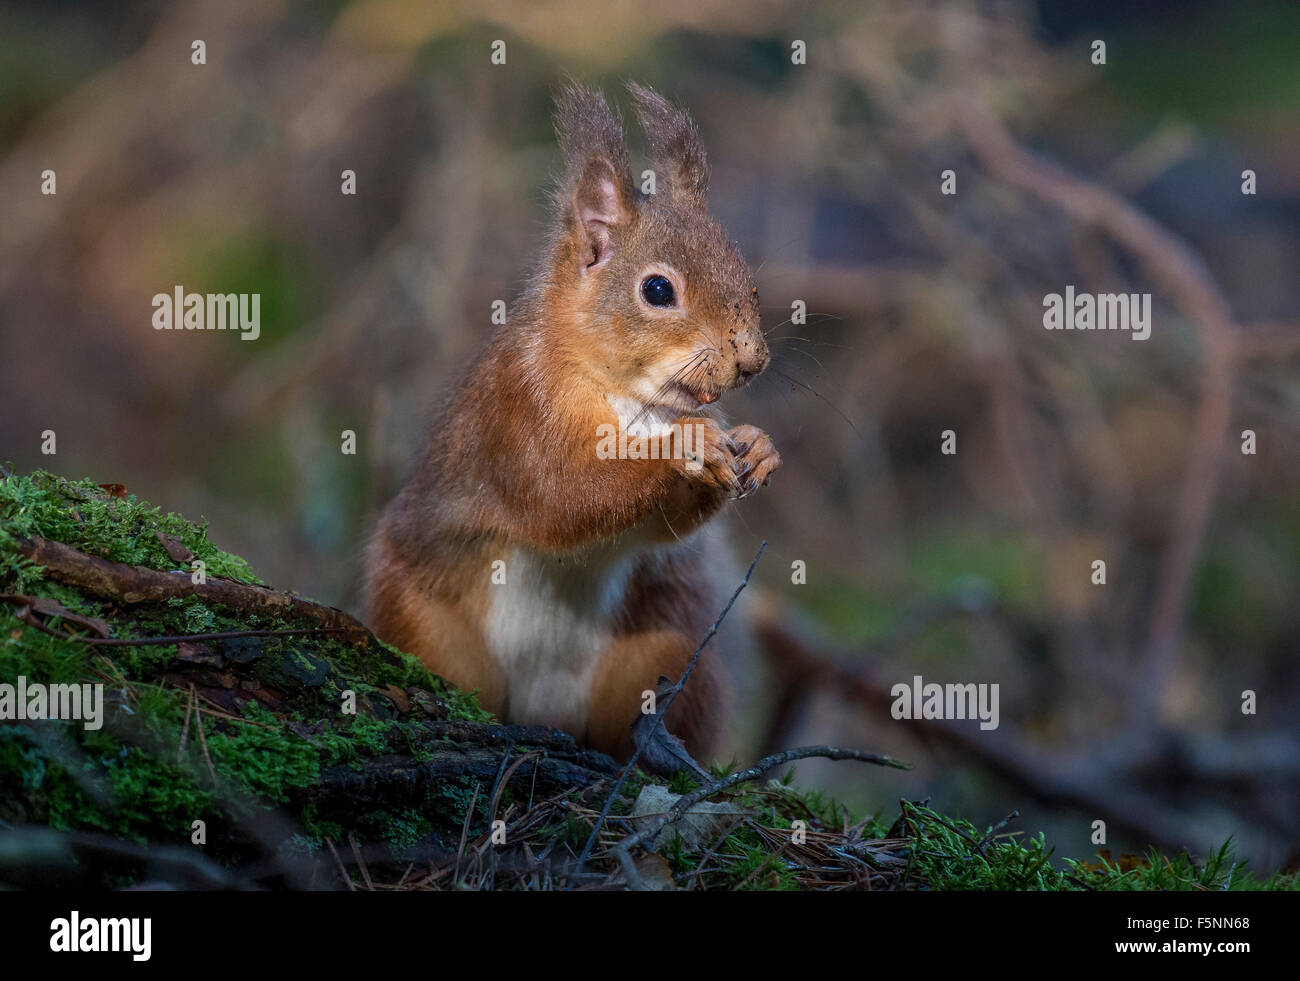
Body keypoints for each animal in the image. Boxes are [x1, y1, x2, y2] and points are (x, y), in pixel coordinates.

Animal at [361, 82, 774, 758]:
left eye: (752, 285)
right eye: (657, 291)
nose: (751, 361)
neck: (632, 400)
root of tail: (543, 709)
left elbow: (655, 531)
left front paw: (757, 446)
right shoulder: (514, 412)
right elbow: (561, 498)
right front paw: (686, 448)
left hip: (659, 651)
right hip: (428, 624)